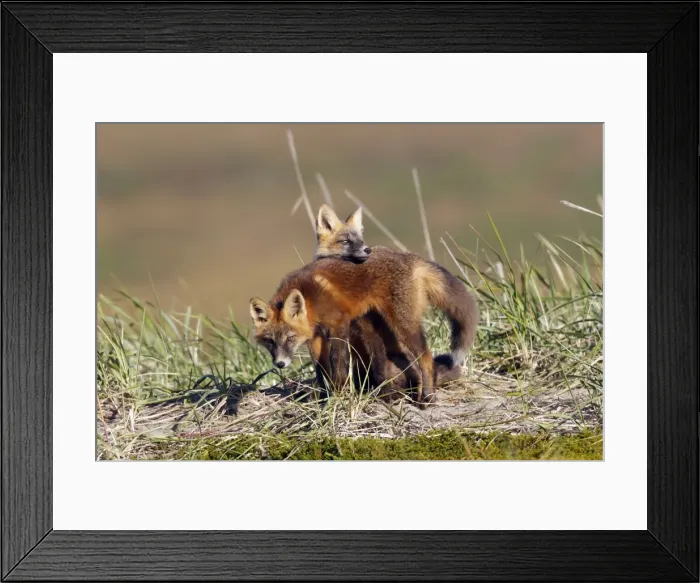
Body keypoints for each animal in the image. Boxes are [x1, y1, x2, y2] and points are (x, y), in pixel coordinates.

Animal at [250, 208, 479, 405]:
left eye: (290, 338)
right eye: (270, 341)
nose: (280, 364)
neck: (311, 298)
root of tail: (410, 258)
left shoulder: (339, 324)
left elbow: (338, 364)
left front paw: (339, 395)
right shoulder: (315, 337)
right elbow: (321, 370)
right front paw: (325, 399)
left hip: (403, 324)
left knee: (426, 358)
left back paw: (426, 397)